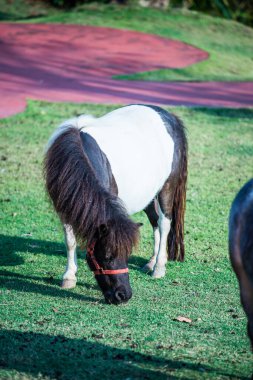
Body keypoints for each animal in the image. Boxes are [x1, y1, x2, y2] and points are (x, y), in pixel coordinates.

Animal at [44, 104, 188, 306]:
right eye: (107, 256)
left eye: (127, 254)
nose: (124, 296)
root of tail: (169, 116)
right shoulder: (65, 209)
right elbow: (70, 242)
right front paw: (69, 277)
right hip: (149, 195)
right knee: (155, 222)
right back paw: (151, 262)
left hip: (167, 188)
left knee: (164, 223)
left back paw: (159, 268)